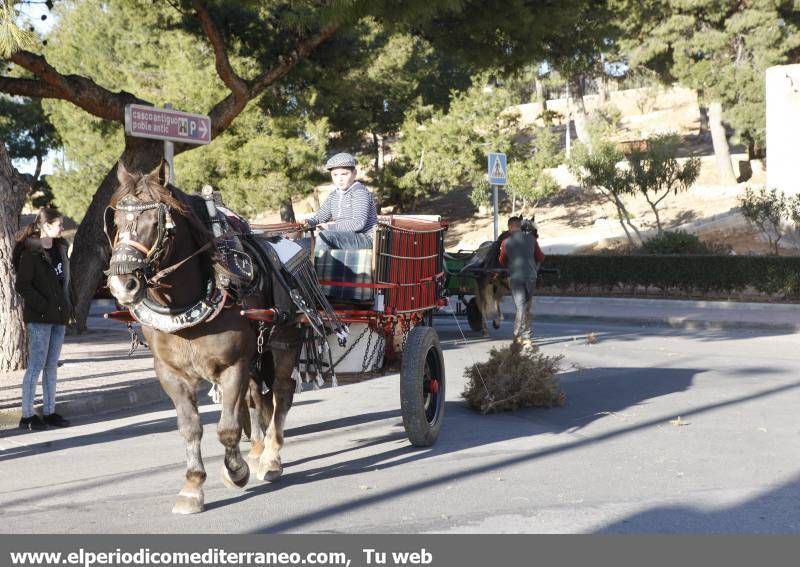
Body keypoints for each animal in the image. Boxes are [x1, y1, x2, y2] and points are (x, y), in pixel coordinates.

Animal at [106, 161, 300, 516]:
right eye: (116, 222)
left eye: (156, 222)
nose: (121, 284)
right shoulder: (170, 373)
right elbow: (190, 427)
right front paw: (192, 486)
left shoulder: (234, 365)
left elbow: (227, 428)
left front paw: (236, 471)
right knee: (257, 397)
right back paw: (257, 450)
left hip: (283, 342)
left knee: (281, 392)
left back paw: (270, 458)